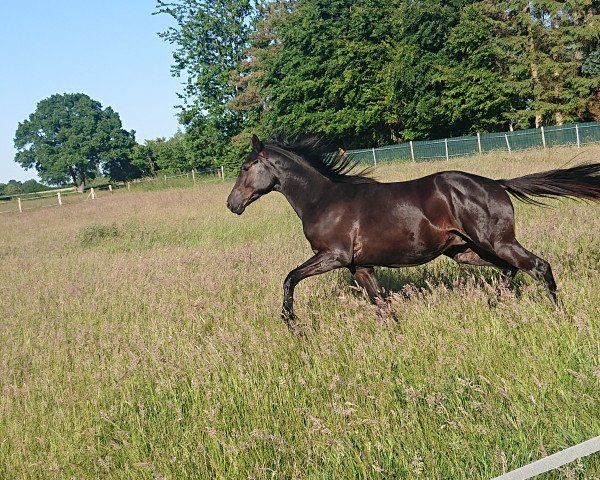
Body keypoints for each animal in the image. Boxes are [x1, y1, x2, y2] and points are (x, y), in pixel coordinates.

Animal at [226, 135, 600, 330]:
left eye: (245, 167)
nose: (232, 204)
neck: (324, 199)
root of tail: (496, 184)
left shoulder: (333, 256)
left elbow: (289, 277)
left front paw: (291, 323)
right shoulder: (360, 266)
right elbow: (380, 305)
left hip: (496, 241)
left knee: (538, 266)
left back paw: (558, 315)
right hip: (467, 250)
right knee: (511, 270)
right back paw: (493, 305)